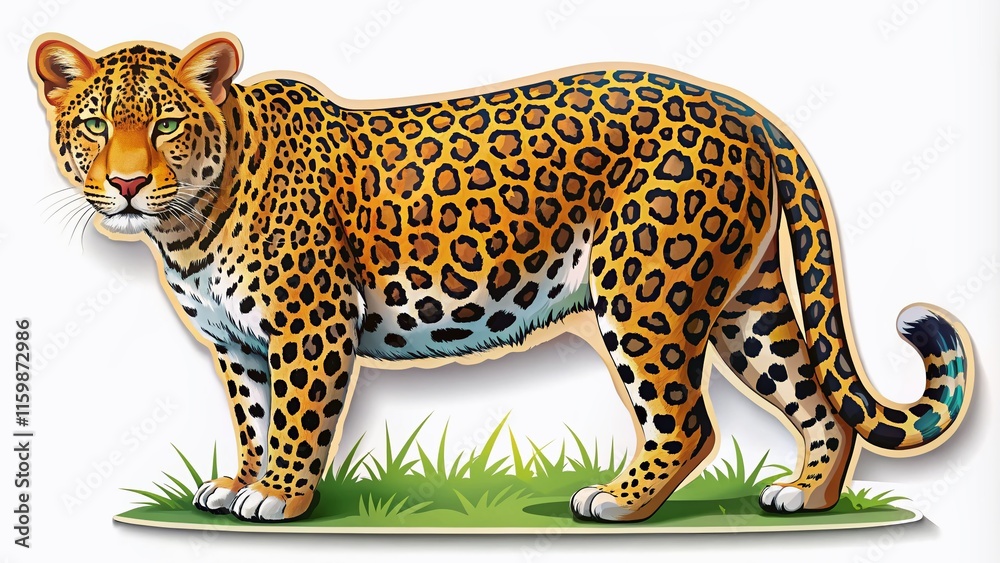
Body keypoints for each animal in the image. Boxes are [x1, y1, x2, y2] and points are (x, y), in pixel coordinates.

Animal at [30, 32, 974, 523]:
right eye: (93, 126)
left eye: (167, 126)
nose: (125, 183)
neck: (188, 225)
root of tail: (746, 110)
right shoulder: (238, 345)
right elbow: (255, 418)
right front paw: (239, 483)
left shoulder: (310, 326)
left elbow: (297, 422)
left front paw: (280, 498)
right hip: (744, 297)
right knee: (815, 396)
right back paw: (806, 494)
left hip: (645, 289)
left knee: (689, 420)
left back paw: (618, 500)